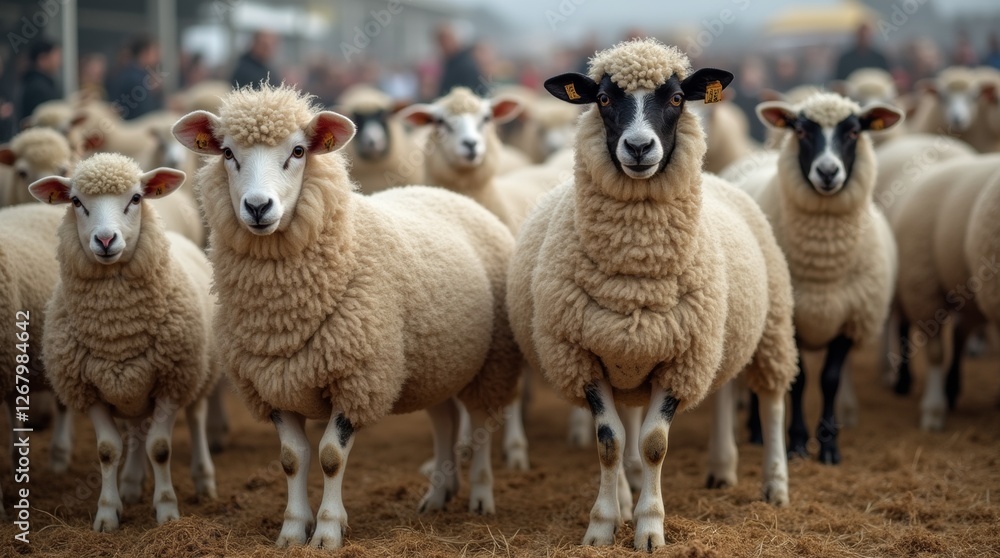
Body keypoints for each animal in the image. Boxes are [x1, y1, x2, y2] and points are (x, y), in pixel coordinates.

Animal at [27, 153, 220, 532]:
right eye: (76, 202)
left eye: (135, 198)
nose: (105, 240)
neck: (117, 329)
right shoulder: (88, 388)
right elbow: (108, 450)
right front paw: (107, 513)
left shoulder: (170, 382)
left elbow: (160, 448)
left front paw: (167, 511)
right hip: (132, 389)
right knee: (134, 433)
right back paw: (131, 485)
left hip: (197, 373)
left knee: (196, 418)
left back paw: (204, 481)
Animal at [172, 83, 521, 549]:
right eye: (227, 153)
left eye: (298, 151)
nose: (258, 207)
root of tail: (453, 195)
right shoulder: (271, 383)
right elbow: (291, 458)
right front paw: (292, 529)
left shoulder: (358, 378)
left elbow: (331, 457)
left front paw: (327, 531)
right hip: (433, 364)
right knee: (445, 422)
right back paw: (437, 495)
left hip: (491, 362)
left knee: (480, 425)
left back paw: (481, 496)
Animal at [508, 39, 797, 551]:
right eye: (603, 99)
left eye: (677, 98)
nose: (640, 147)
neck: (636, 269)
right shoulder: (586, 356)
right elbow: (611, 441)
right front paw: (604, 524)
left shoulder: (681, 359)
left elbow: (654, 444)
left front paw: (649, 528)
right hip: (657, 355)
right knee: (695, 404)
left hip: (769, 329)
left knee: (772, 401)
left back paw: (774, 485)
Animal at [744, 93, 902, 462]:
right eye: (801, 130)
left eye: (855, 131)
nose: (828, 171)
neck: (824, 267)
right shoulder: (793, 319)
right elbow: (800, 381)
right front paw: (798, 444)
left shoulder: (850, 318)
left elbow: (829, 380)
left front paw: (829, 446)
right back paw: (757, 432)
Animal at [891, 154, 1000, 430]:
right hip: (923, 284)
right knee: (934, 348)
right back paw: (933, 409)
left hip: (971, 296)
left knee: (960, 335)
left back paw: (951, 390)